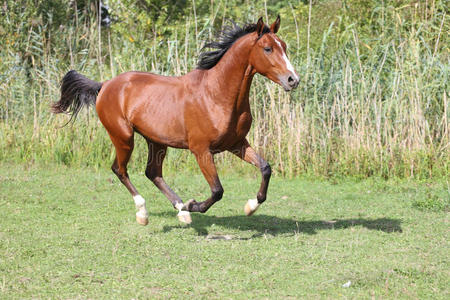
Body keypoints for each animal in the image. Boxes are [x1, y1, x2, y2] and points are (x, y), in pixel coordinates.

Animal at [51, 15, 298, 225]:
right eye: (268, 48)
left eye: (284, 47)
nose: (293, 80)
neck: (216, 95)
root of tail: (104, 85)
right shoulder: (201, 150)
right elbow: (217, 190)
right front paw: (193, 205)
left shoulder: (236, 144)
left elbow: (265, 168)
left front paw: (250, 206)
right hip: (123, 137)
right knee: (120, 170)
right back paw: (145, 213)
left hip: (156, 141)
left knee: (152, 172)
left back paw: (181, 211)